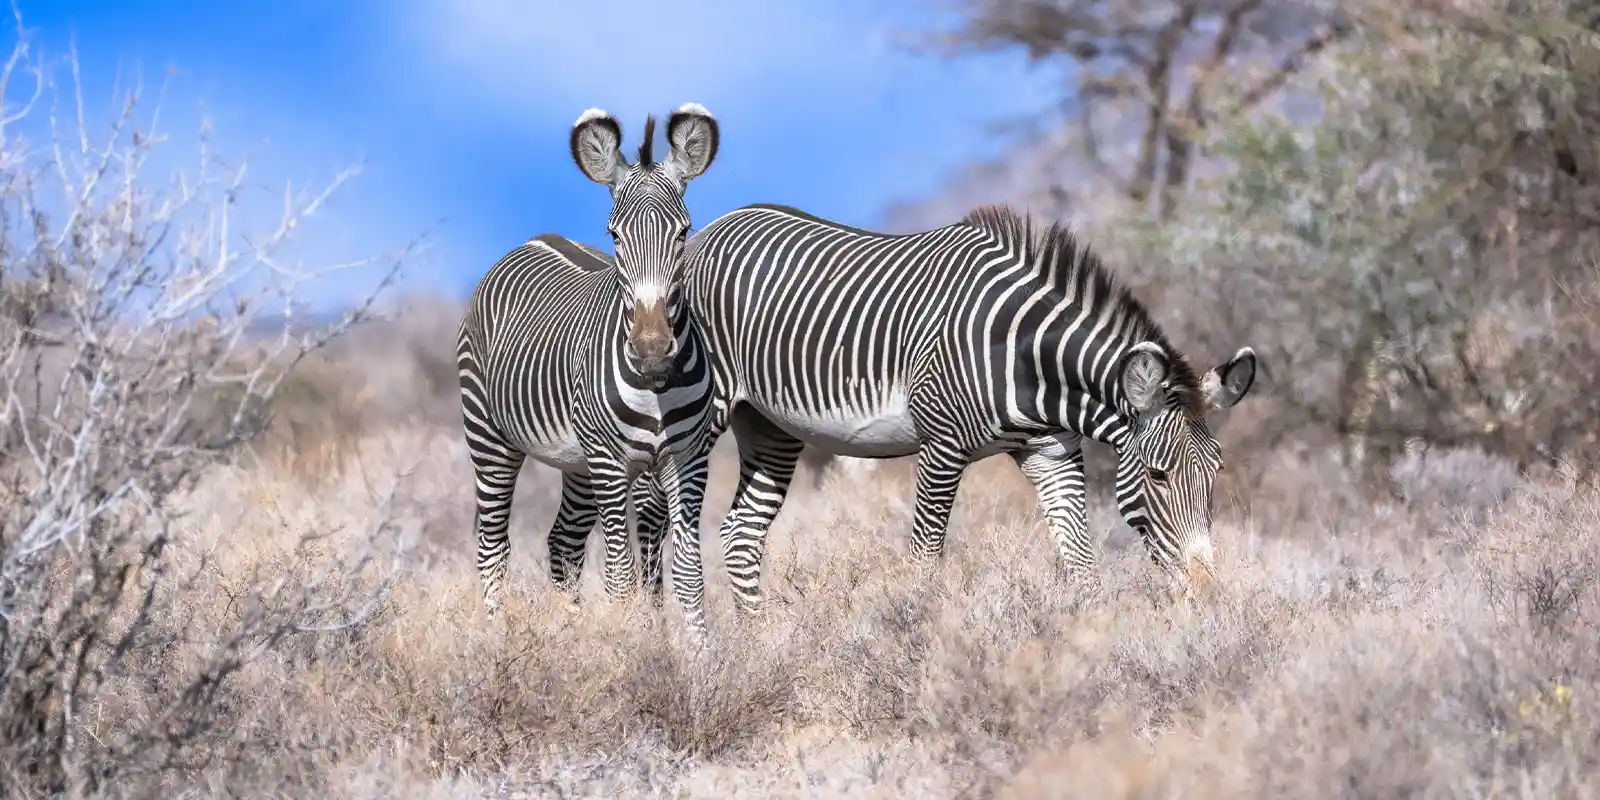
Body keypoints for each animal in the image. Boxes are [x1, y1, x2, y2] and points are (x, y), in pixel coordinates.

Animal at [456, 104, 721, 637]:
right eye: (614, 235)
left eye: (683, 233)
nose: (652, 350)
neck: (656, 387)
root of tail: (533, 241)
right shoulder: (611, 463)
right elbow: (620, 576)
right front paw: (630, 649)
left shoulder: (688, 458)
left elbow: (689, 572)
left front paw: (702, 652)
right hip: (490, 438)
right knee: (493, 545)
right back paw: (495, 635)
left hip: (575, 462)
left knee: (563, 543)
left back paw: (572, 629)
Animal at [666, 202, 1258, 612]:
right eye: (1159, 475)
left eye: (1216, 472)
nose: (1206, 590)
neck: (1026, 356)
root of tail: (712, 227)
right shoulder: (941, 447)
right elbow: (925, 561)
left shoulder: (1051, 452)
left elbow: (1082, 562)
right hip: (703, 414)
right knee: (686, 528)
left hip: (771, 426)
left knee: (741, 533)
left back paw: (759, 640)